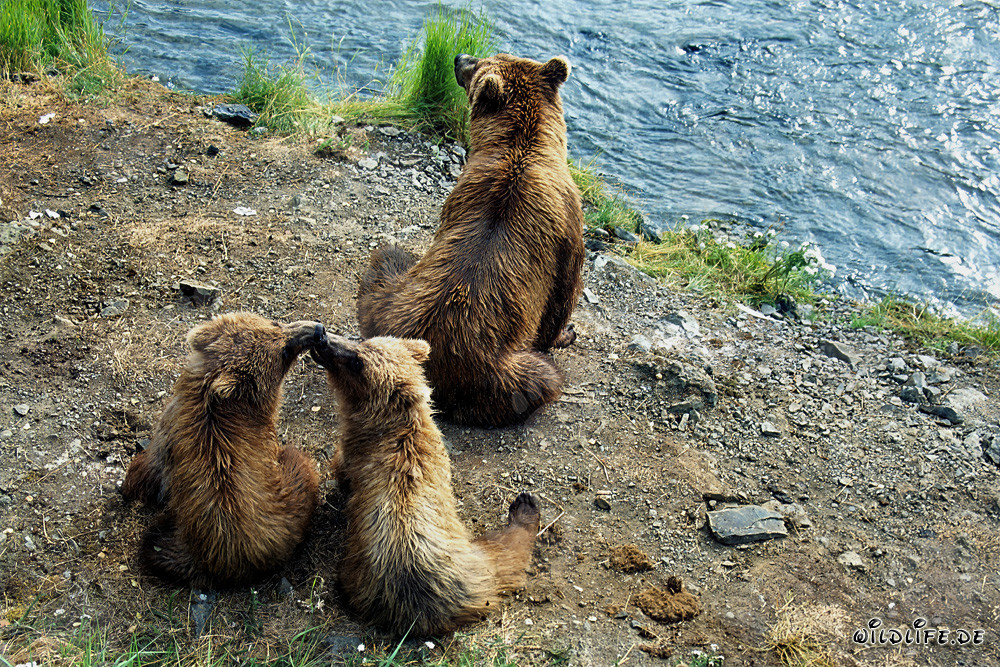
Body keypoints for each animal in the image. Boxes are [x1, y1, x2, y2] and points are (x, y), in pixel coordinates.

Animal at [311, 334, 541, 636]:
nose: (322, 338)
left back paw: (524, 507)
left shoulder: (354, 456)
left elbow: (341, 470)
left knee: (508, 548)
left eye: (356, 361)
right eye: (362, 343)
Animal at [355, 52, 585, 428]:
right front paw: (565, 333)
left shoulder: (460, 193)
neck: (522, 147)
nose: (459, 56)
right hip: (501, 374)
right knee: (542, 378)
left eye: (486, 58)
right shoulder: (567, 223)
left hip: (385, 302)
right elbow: (563, 293)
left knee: (385, 258)